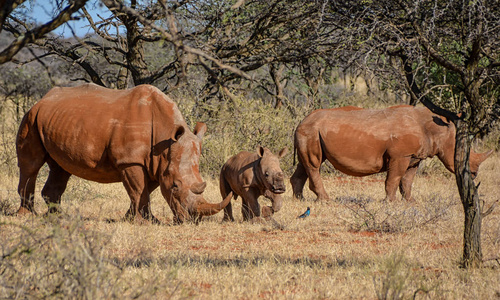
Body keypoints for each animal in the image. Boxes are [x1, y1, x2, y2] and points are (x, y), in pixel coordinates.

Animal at [16, 83, 231, 224]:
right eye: (175, 186)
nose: (193, 220)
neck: (165, 138)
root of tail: (43, 99)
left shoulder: (154, 163)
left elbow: (144, 190)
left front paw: (134, 218)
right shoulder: (130, 160)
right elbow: (138, 190)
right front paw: (145, 222)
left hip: (58, 122)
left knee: (61, 168)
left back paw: (57, 217)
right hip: (31, 117)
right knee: (31, 165)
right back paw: (27, 215)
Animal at [292, 105, 490, 202]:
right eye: (463, 155)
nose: (474, 174)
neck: (435, 129)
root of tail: (300, 122)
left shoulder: (413, 157)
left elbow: (407, 180)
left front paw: (410, 202)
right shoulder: (400, 155)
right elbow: (394, 178)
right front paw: (389, 202)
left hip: (310, 131)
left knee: (305, 164)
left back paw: (299, 200)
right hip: (311, 131)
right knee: (314, 165)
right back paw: (325, 200)